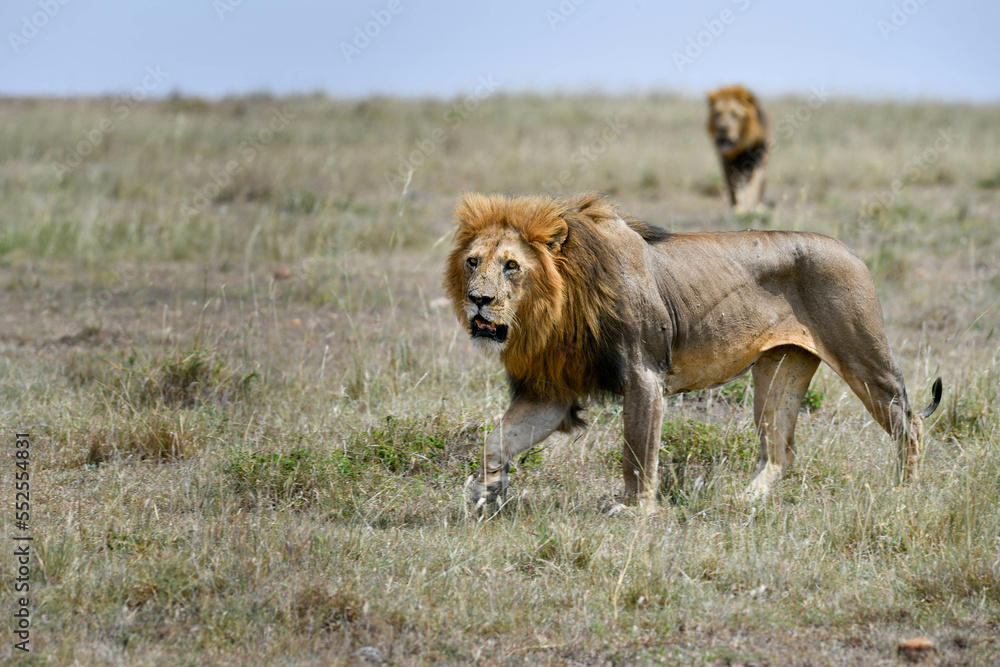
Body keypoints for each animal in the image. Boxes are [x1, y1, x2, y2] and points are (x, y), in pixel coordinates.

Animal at [445, 192, 942, 510]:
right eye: (473, 261)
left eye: (512, 266)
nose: (478, 300)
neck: (554, 308)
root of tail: (851, 250)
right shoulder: (551, 391)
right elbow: (497, 441)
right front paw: (485, 494)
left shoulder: (644, 373)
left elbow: (637, 453)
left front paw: (634, 512)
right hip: (780, 370)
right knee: (779, 453)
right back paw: (744, 502)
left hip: (863, 355)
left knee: (910, 423)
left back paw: (905, 494)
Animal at [707, 85, 769, 213]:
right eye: (717, 114)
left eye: (734, 114)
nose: (722, 128)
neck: (741, 146)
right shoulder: (727, 165)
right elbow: (733, 189)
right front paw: (738, 209)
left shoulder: (758, 162)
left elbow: (753, 187)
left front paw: (749, 206)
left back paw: (759, 207)